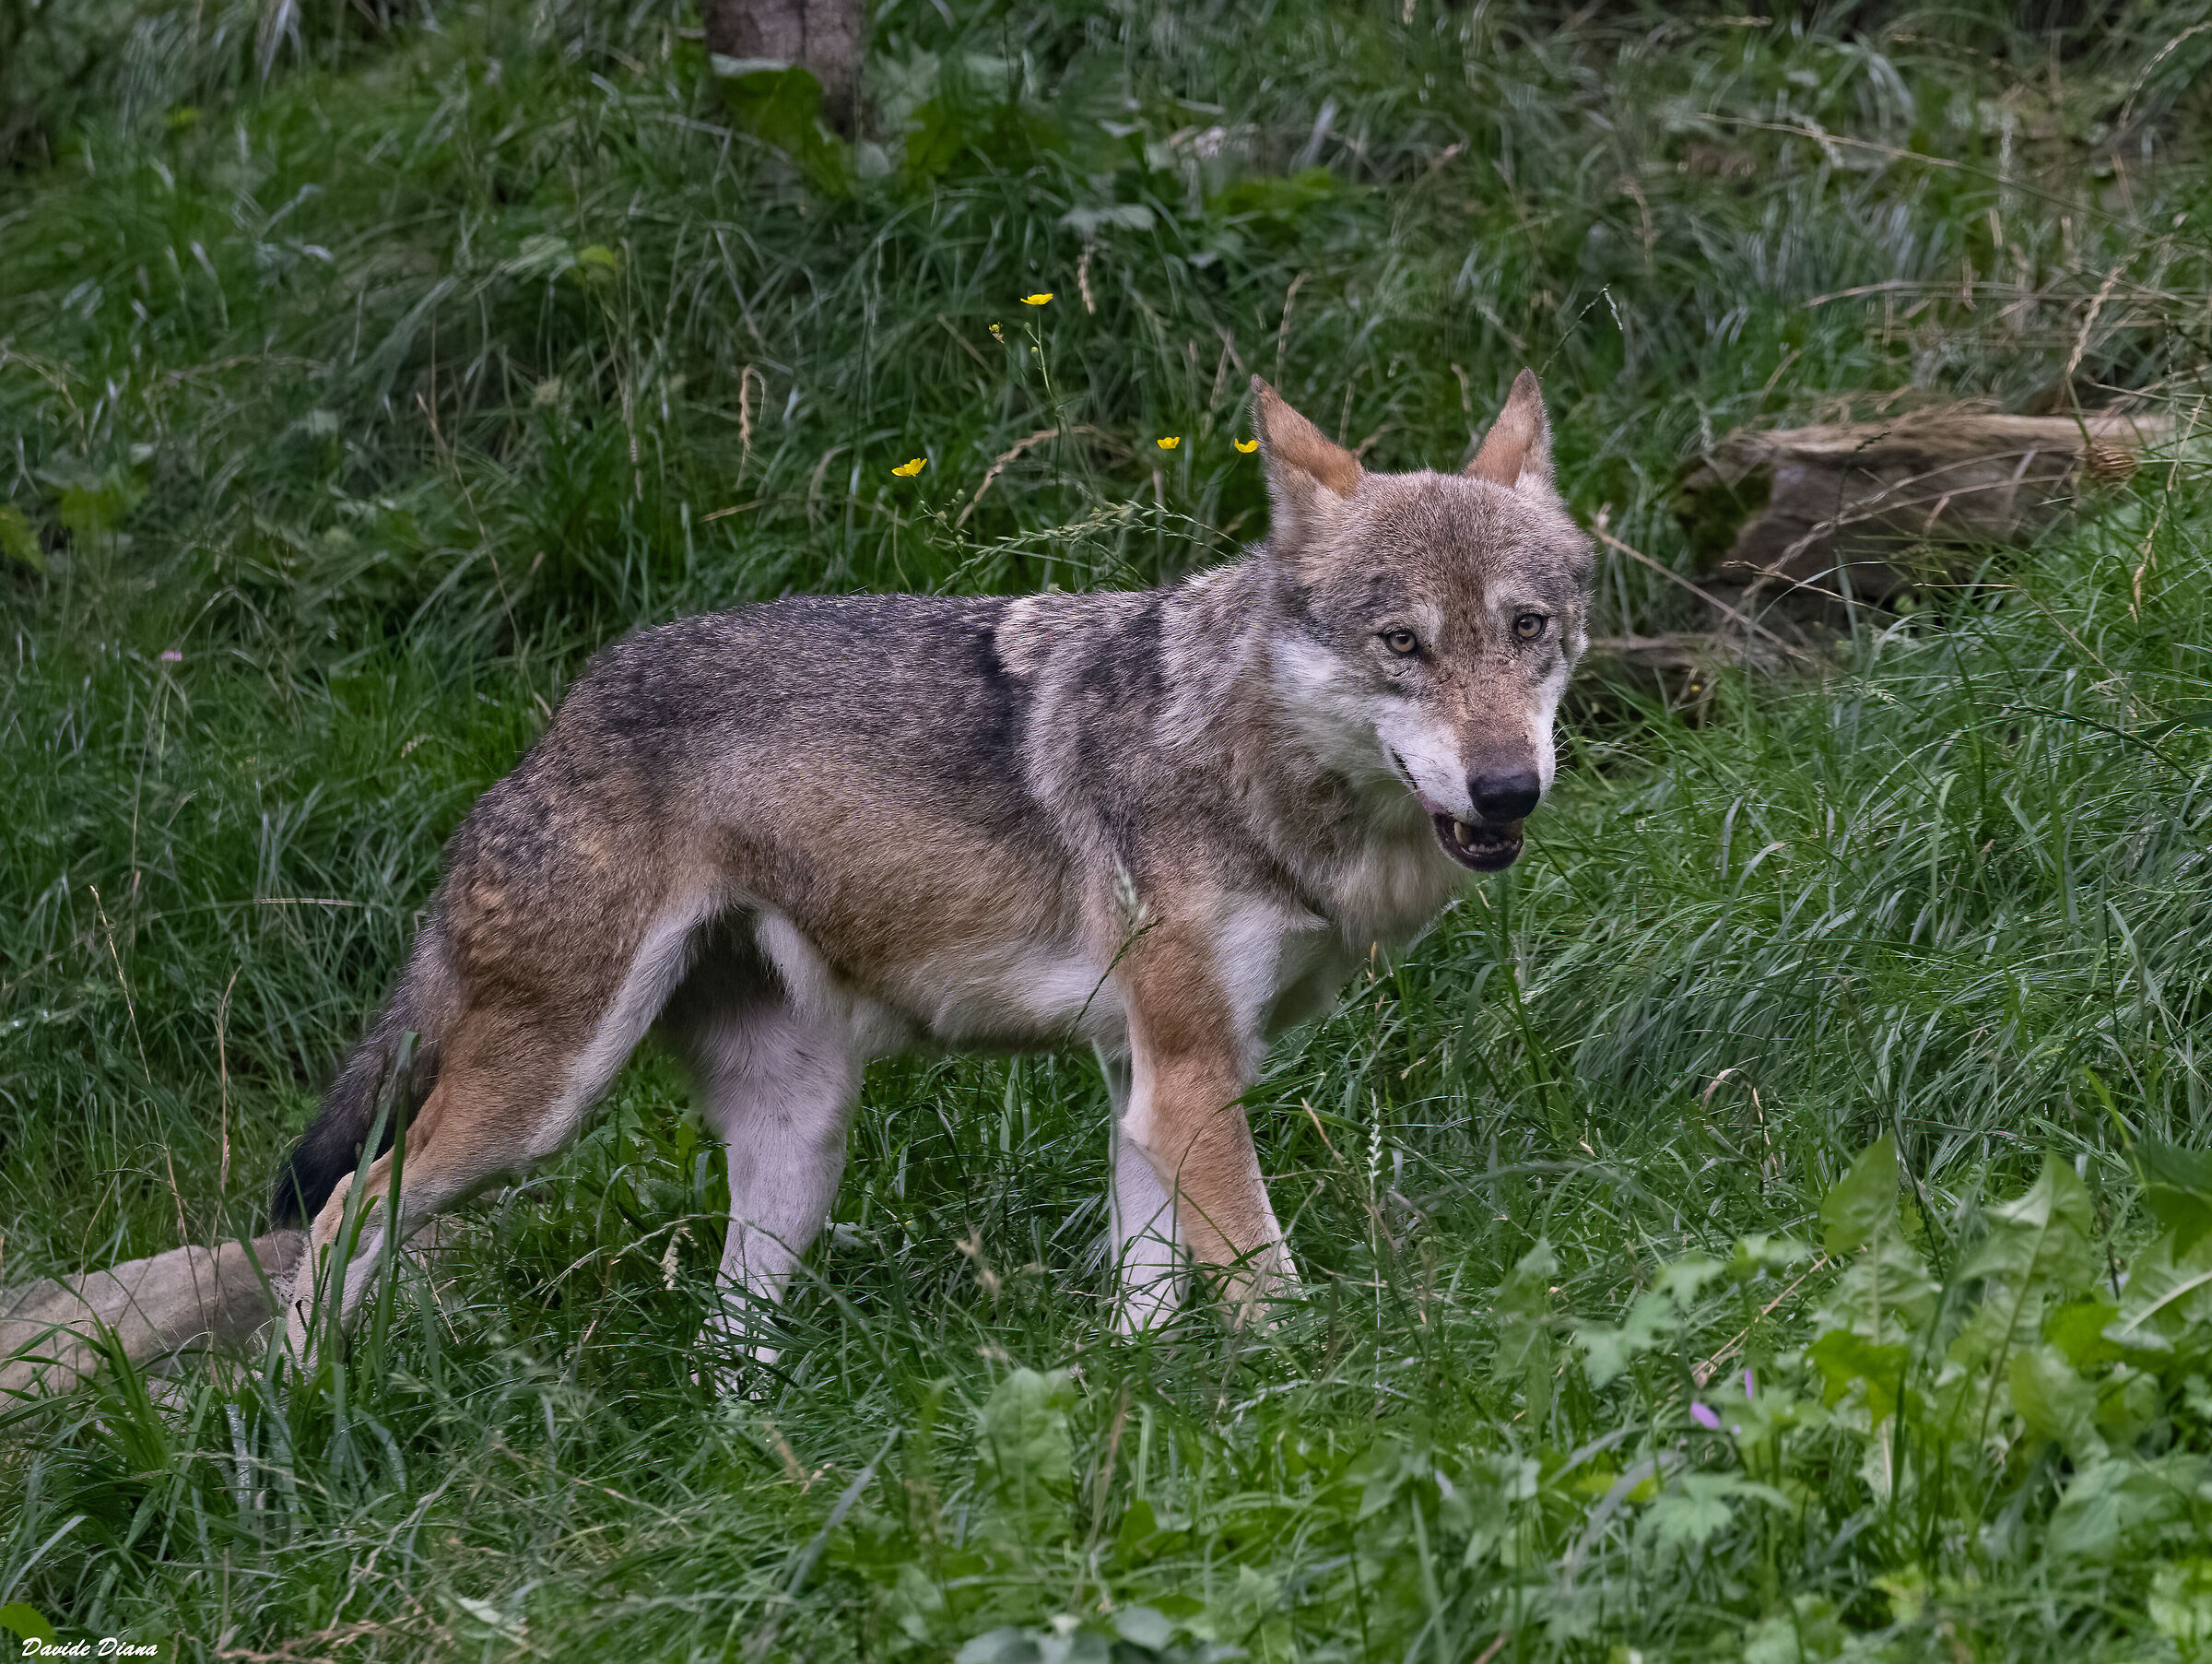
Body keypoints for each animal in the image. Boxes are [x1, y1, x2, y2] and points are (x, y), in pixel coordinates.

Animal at [270, 370, 1594, 1366]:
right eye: (1402, 642)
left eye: (1527, 628)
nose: (1506, 789)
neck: (1248, 757)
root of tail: (558, 720)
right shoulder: (1191, 1082)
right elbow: (1270, 1293)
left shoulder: (1148, 1079)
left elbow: (1146, 1293)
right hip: (545, 1100)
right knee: (340, 1210)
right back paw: (297, 1408)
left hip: (800, 1139)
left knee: (719, 1343)